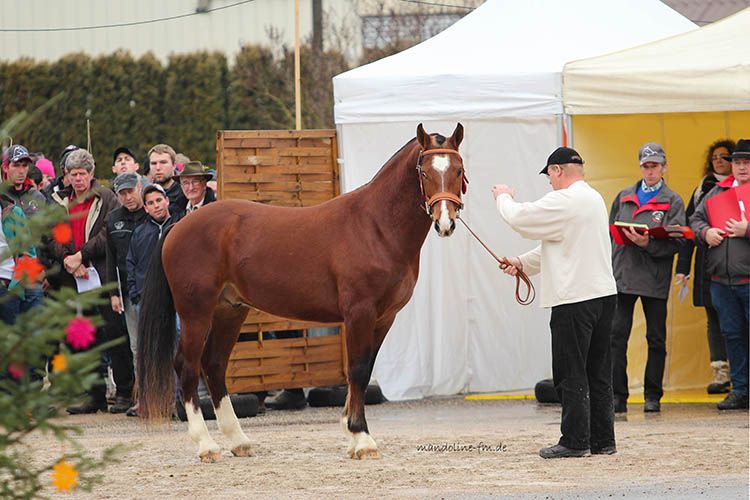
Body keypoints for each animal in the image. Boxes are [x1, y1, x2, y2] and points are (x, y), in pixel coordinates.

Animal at [136, 123, 466, 462]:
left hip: (229, 310)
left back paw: (239, 440)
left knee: (214, 365)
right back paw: (207, 445)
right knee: (187, 367)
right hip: (195, 313)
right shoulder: (359, 313)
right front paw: (361, 438)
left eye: (458, 169)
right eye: (424, 171)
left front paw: (350, 433)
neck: (375, 226)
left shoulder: (384, 318)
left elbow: (363, 371)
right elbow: (358, 370)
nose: (445, 222)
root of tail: (177, 226)